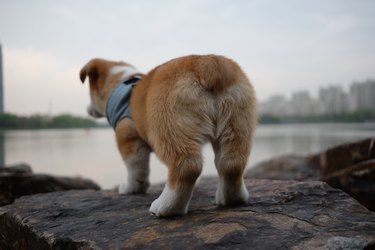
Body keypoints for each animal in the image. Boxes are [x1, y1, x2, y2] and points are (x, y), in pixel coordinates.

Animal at [80, 54, 258, 217]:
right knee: (231, 164)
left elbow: (135, 168)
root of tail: (207, 63)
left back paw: (166, 208)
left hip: (169, 125)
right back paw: (231, 199)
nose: (87, 110)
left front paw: (131, 189)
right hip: (236, 124)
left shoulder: (127, 135)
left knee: (186, 167)